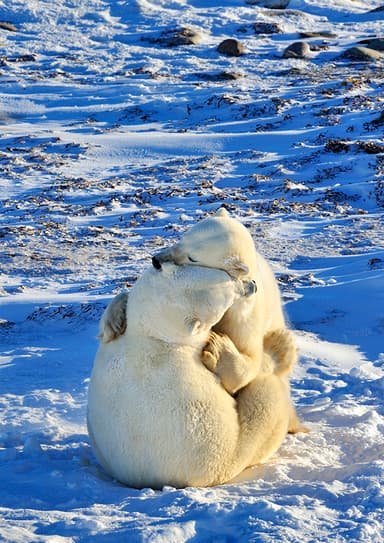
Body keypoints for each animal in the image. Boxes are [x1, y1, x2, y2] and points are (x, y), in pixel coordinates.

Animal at [88, 264, 294, 488]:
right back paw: (279, 347)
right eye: (227, 299)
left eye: (227, 276)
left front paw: (115, 318)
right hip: (232, 452)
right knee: (267, 401)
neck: (152, 333)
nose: (252, 285)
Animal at [100, 208, 308, 434]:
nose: (156, 260)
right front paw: (114, 321)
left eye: (193, 257)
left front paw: (220, 351)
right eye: (183, 237)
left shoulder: (244, 316)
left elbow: (251, 360)